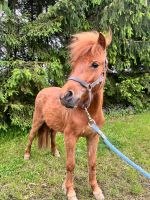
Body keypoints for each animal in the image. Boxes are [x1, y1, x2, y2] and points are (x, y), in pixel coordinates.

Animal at [24, 30, 111, 199]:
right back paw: (26, 155)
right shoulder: (70, 136)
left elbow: (92, 163)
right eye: (74, 65)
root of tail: (43, 90)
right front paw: (70, 191)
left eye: (95, 64)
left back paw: (55, 152)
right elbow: (70, 164)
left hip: (53, 126)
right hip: (37, 121)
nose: (65, 96)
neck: (87, 113)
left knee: (51, 136)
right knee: (31, 137)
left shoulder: (93, 137)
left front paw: (96, 190)